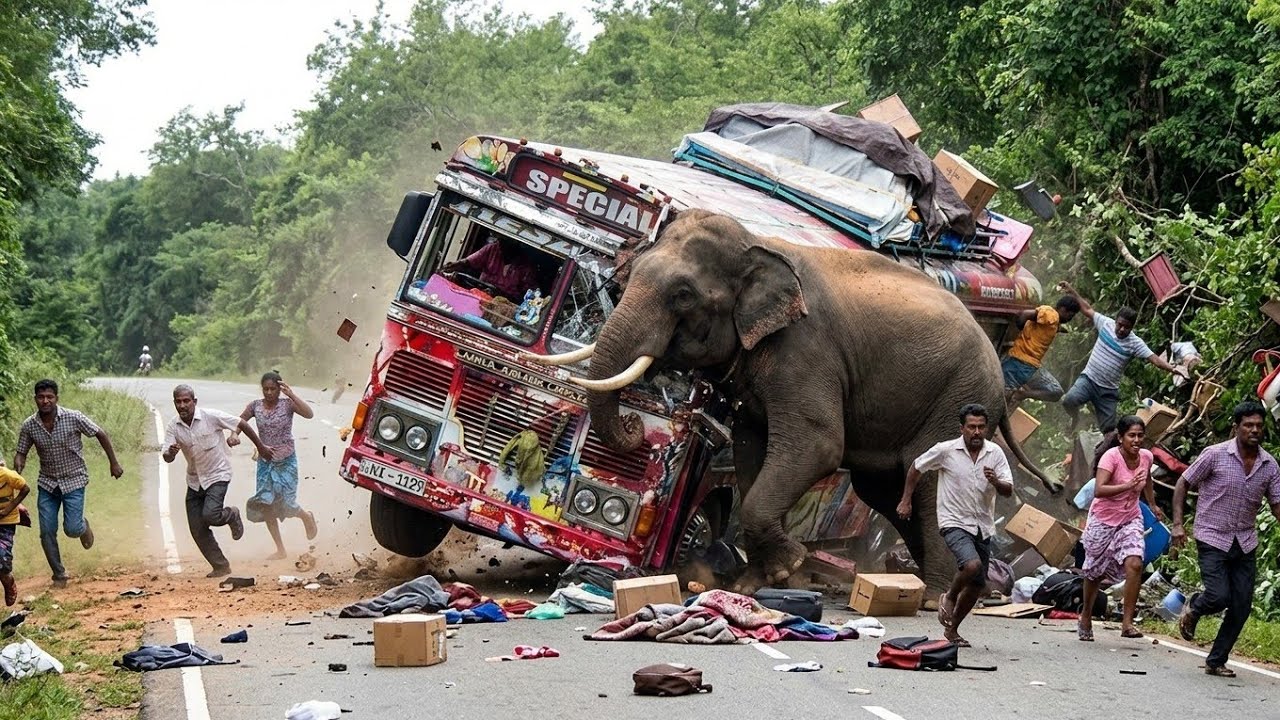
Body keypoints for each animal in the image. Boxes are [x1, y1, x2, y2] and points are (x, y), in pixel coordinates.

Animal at [529, 210, 1058, 594]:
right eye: (630, 273)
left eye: (683, 295)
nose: (635, 428)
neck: (760, 246)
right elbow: (752, 449)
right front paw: (759, 581)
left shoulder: (805, 352)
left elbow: (817, 447)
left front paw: (788, 567)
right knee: (886, 491)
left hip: (959, 399)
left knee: (929, 486)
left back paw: (934, 595)